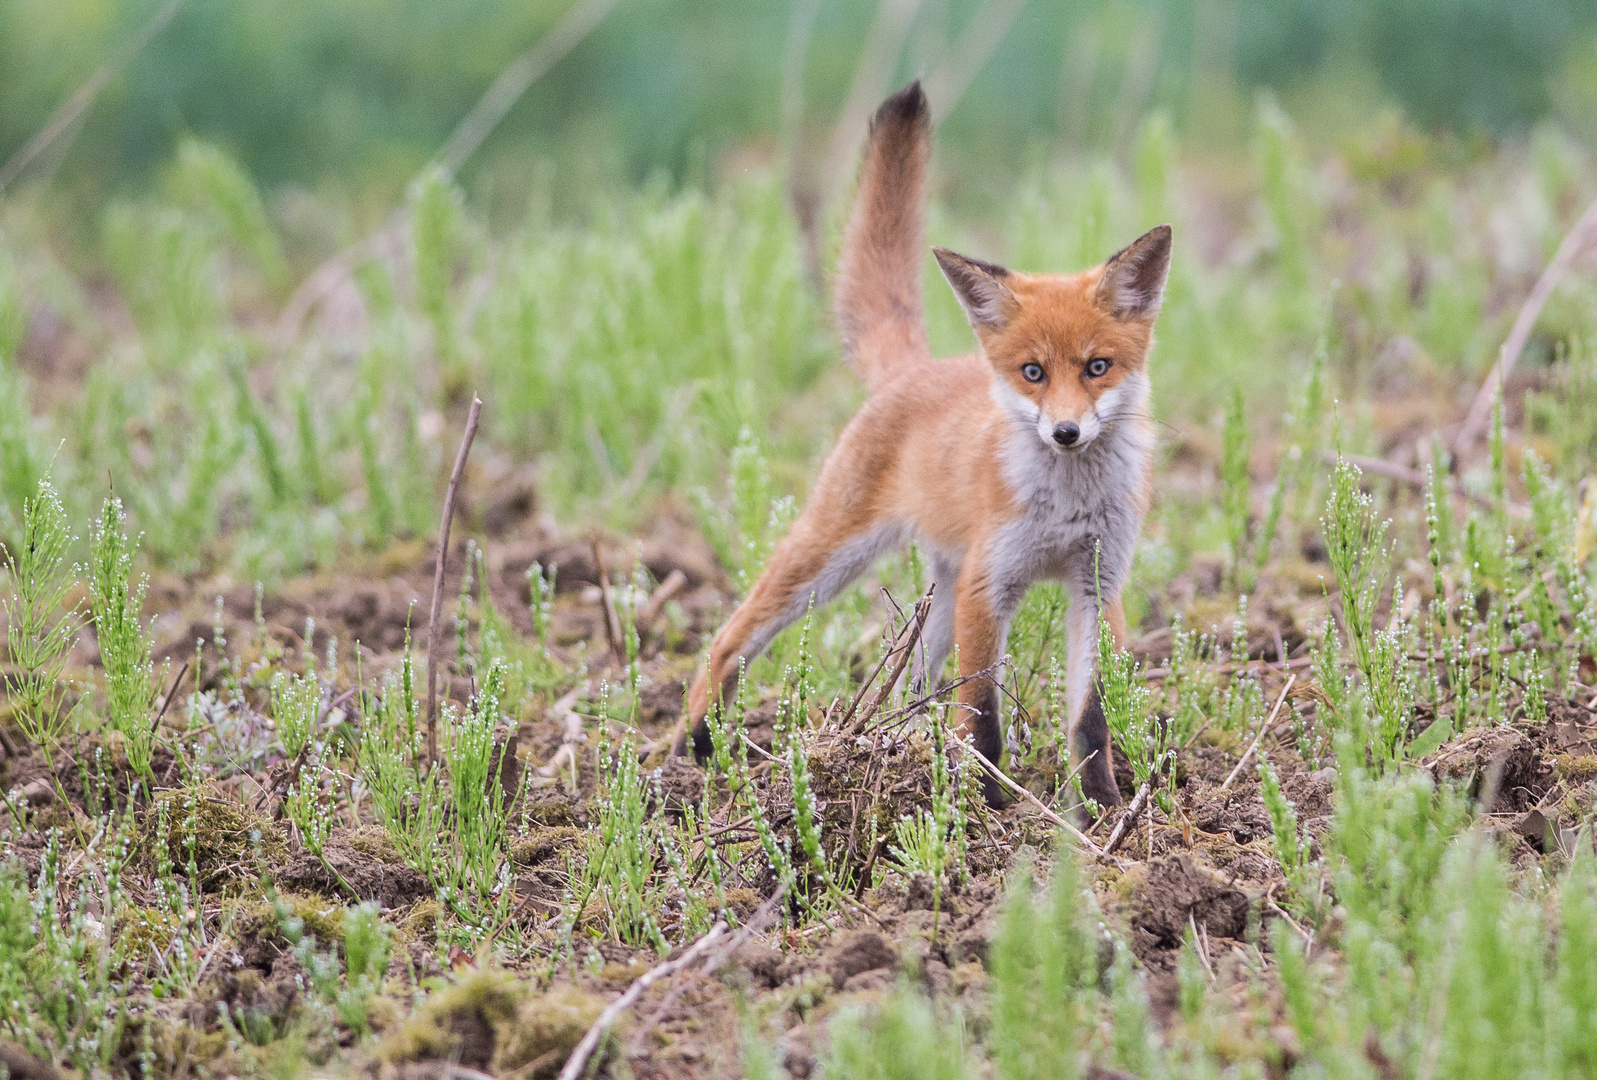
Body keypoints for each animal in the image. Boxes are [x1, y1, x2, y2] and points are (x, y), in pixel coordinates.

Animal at [680, 82, 1169, 811]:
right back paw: (695, 739)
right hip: (830, 559)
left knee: (912, 685)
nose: (1065, 432)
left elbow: (1090, 718)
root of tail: (914, 370)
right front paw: (990, 806)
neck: (1066, 505)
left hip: (939, 592)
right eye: (1032, 372)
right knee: (726, 636)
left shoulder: (1095, 583)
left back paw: (905, 751)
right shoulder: (989, 584)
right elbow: (984, 714)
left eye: (1096, 368)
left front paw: (1104, 809)